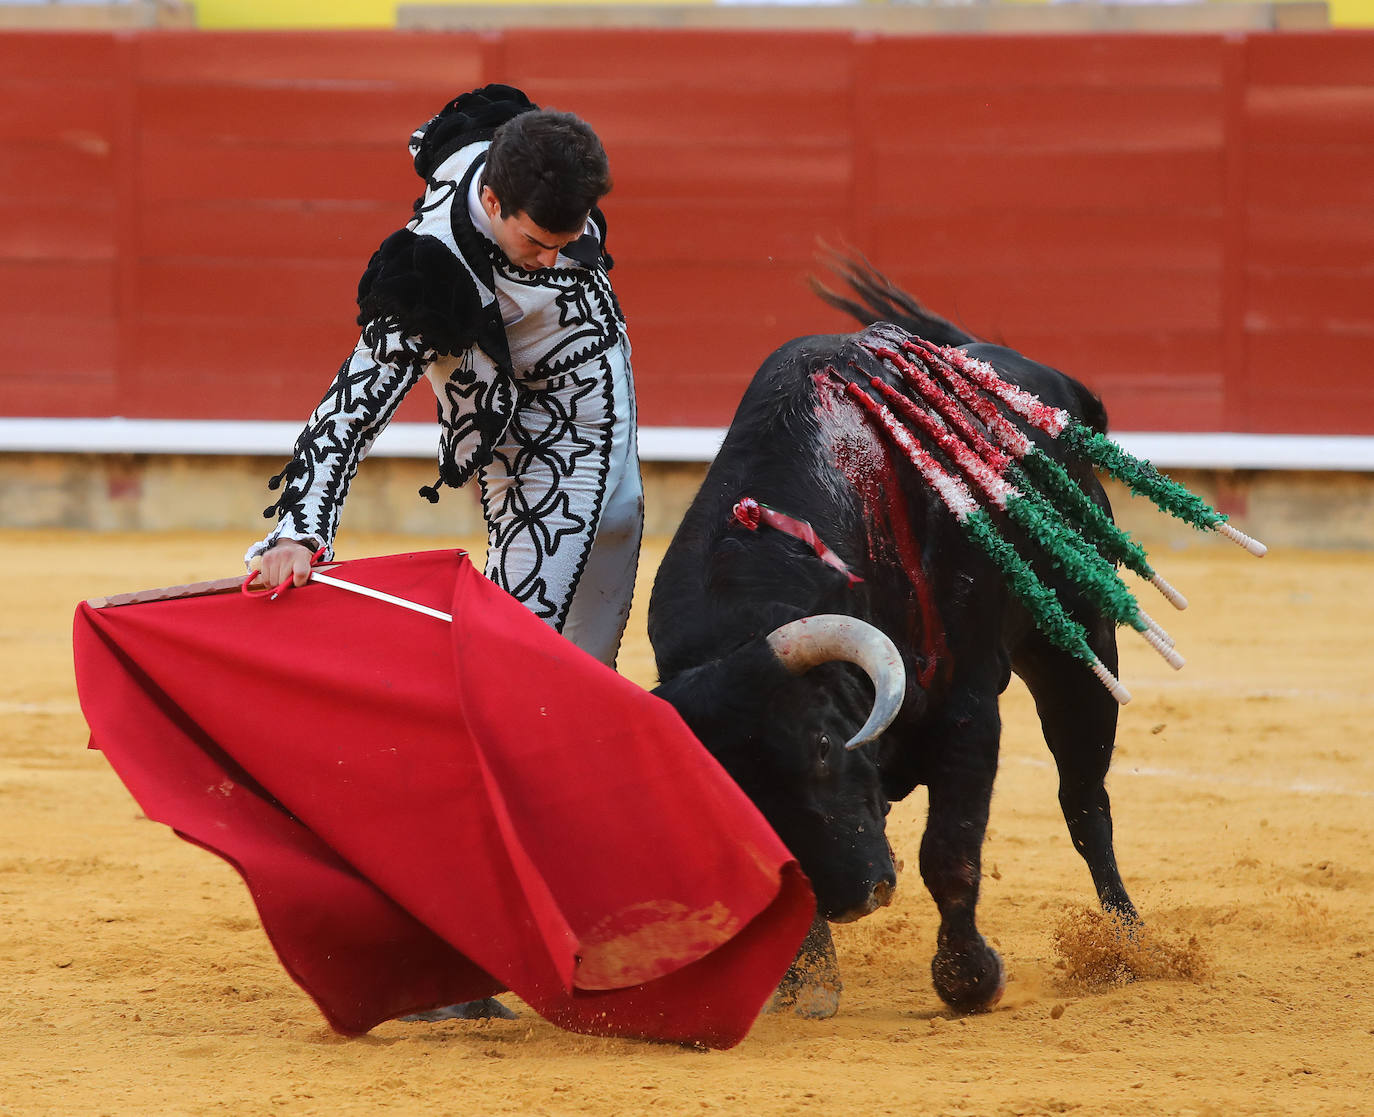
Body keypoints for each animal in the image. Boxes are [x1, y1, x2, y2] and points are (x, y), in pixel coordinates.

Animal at [648, 276, 1132, 1011]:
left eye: (822, 745)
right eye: (731, 792)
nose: (857, 898)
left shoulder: (967, 707)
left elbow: (949, 851)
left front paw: (970, 980)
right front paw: (808, 986)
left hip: (1078, 644)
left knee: (1085, 799)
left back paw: (1127, 947)